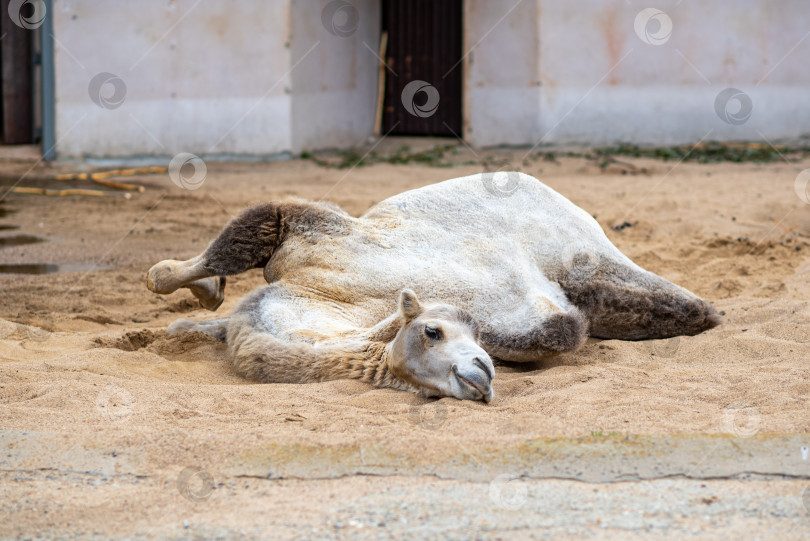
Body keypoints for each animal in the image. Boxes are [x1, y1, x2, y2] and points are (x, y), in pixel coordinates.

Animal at [145, 173, 720, 400]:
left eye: (433, 332)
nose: (477, 379)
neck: (333, 297)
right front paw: (194, 312)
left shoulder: (310, 228)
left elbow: (229, 242)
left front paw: (196, 290)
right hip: (585, 261)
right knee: (649, 304)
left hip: (582, 248)